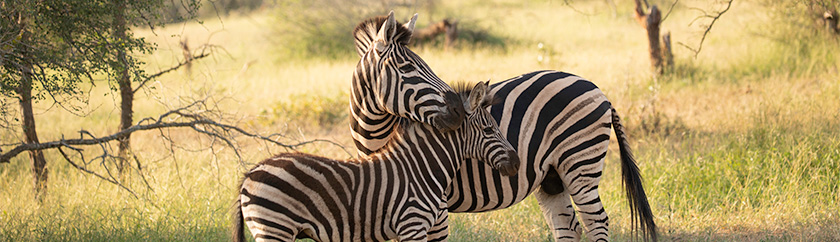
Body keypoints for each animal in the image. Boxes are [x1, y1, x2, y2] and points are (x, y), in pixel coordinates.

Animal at [235, 82, 520, 242]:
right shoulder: (412, 226)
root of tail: (251, 173)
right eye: (488, 130)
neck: (421, 169)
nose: (516, 163)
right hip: (275, 228)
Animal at [348, 16, 656, 241]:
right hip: (552, 177)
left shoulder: (433, 206)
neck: (376, 137)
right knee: (568, 227)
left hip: (580, 163)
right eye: (407, 69)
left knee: (596, 222)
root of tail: (597, 89)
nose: (460, 110)